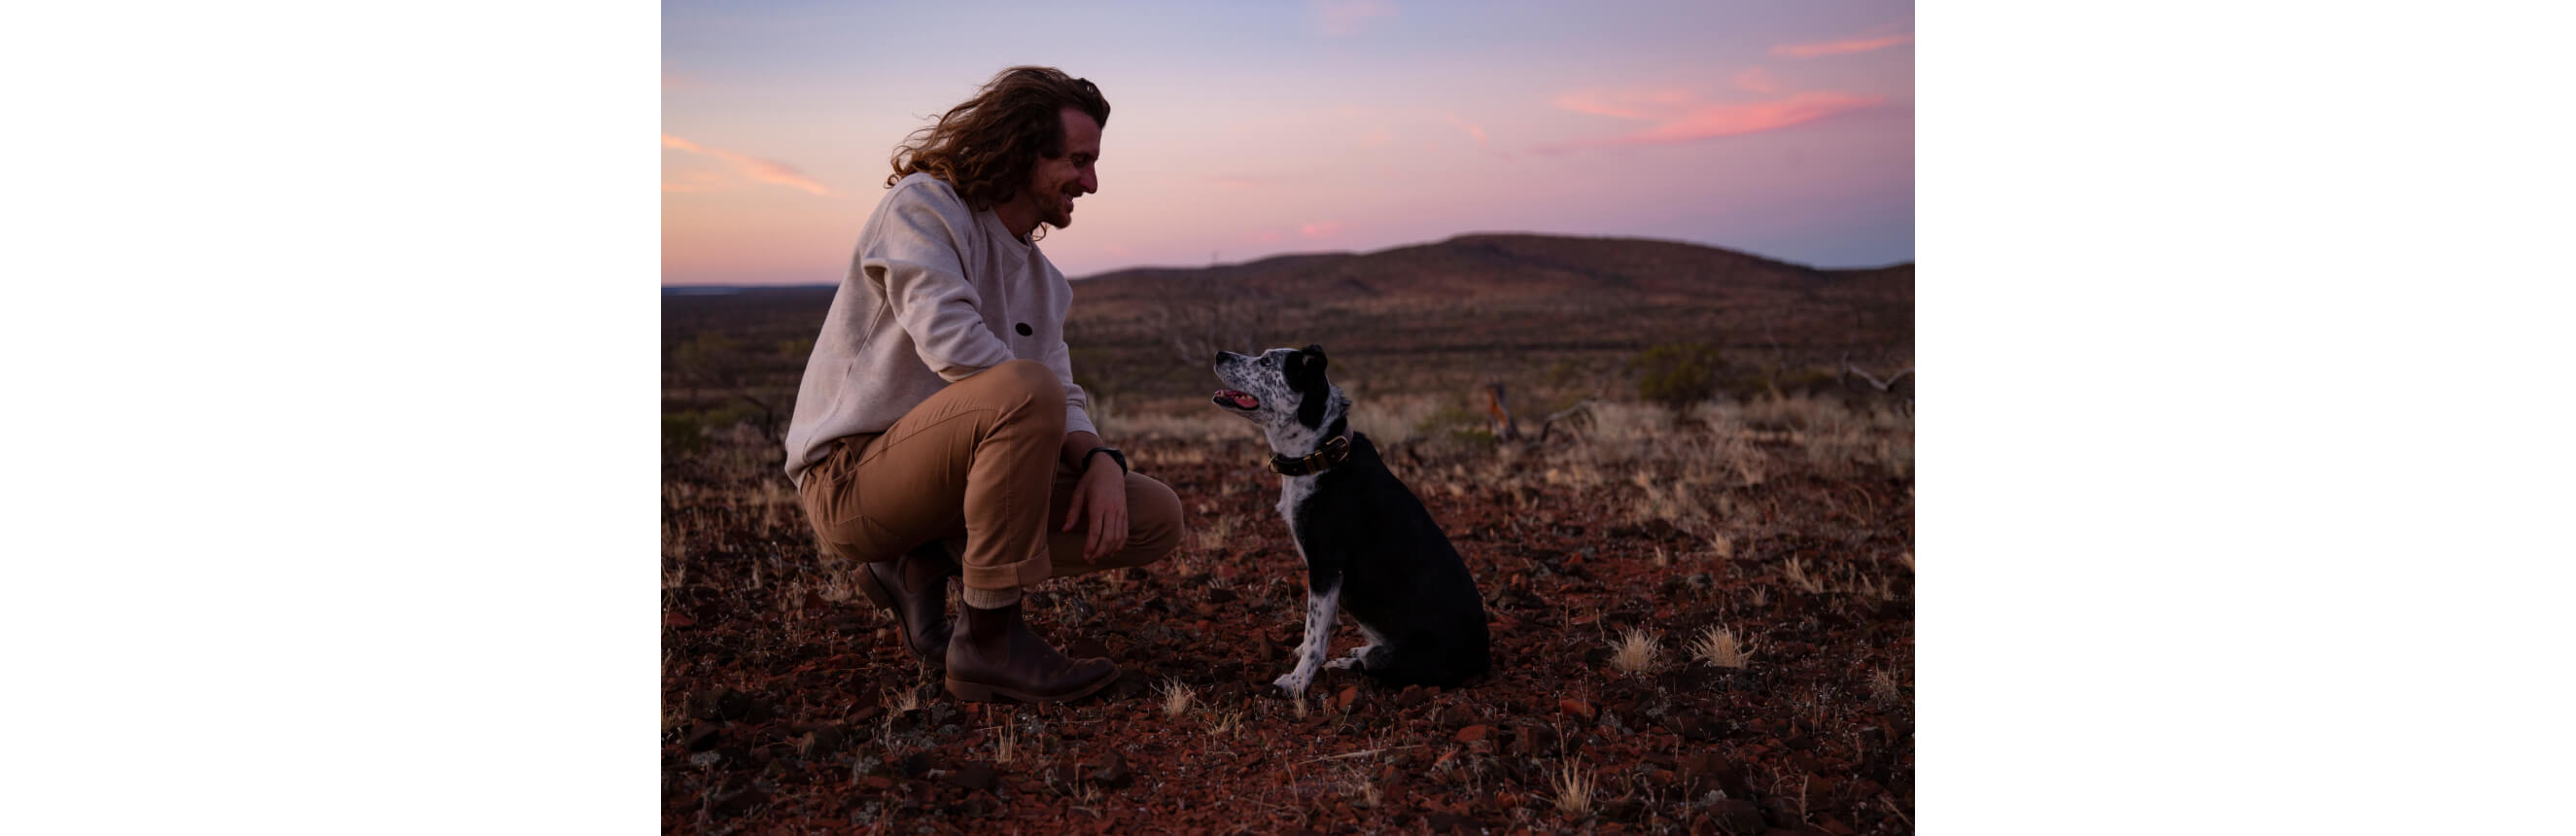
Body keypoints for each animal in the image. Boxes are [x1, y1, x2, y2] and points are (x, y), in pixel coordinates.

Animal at [1215, 344, 1504, 689]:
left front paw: (1297, 682)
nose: (1219, 354)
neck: (1320, 454)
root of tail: (1483, 659)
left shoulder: (1326, 566)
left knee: (1373, 663)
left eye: (1267, 361)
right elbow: (1324, 626)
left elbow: (1314, 636)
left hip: (1406, 656)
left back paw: (1346, 661)